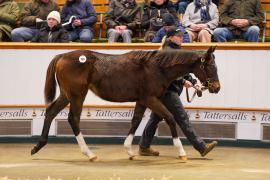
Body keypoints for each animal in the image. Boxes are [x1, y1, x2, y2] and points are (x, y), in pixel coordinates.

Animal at [31, 46, 220, 160]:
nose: (216, 88)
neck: (156, 68)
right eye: (209, 67)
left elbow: (135, 121)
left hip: (66, 94)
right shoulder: (150, 98)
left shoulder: (142, 100)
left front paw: (129, 150)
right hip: (77, 95)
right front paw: (181, 152)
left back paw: (37, 146)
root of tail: (61, 56)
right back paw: (89, 153)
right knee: (73, 119)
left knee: (51, 111)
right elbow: (170, 118)